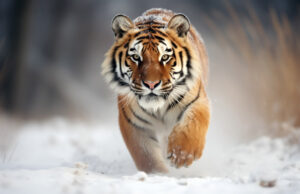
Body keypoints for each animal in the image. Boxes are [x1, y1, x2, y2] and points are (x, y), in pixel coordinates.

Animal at [102, 8, 210, 174]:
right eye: (136, 57)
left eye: (165, 57)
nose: (151, 84)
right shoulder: (134, 125)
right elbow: (146, 156)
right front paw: (157, 174)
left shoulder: (198, 101)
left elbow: (192, 125)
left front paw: (181, 155)